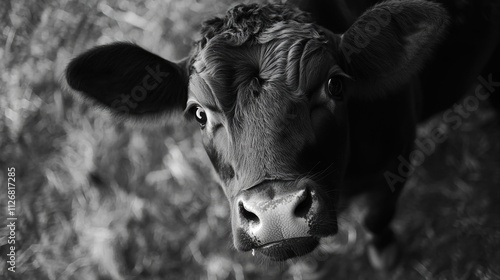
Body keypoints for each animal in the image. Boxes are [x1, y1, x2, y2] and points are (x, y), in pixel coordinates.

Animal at [65, 0, 500, 272]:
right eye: (199, 114)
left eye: (334, 85)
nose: (275, 214)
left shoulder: (396, 156)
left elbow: (378, 216)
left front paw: (385, 252)